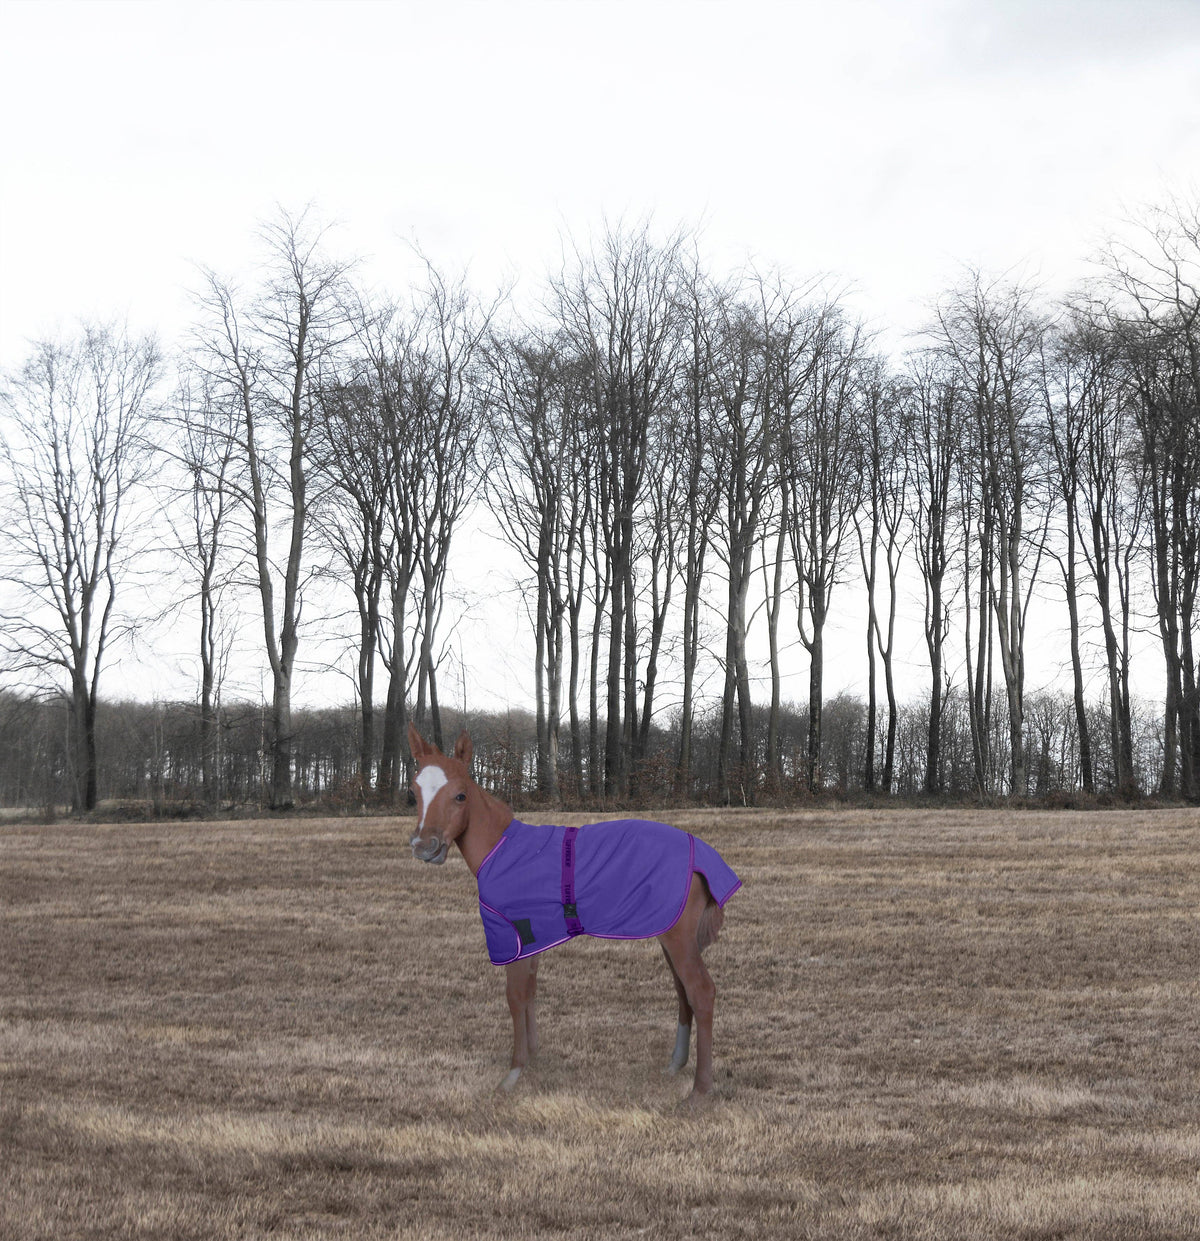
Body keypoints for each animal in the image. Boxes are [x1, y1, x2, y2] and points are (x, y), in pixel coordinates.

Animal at [406, 725, 741, 1098]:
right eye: (414, 791)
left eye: (460, 795)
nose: (425, 847)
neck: (502, 850)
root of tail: (702, 854)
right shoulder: (534, 938)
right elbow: (530, 991)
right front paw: (533, 1057)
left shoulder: (513, 936)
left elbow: (515, 996)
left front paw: (513, 1072)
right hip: (670, 935)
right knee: (683, 992)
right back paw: (676, 1065)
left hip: (679, 939)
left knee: (701, 992)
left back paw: (700, 1089)